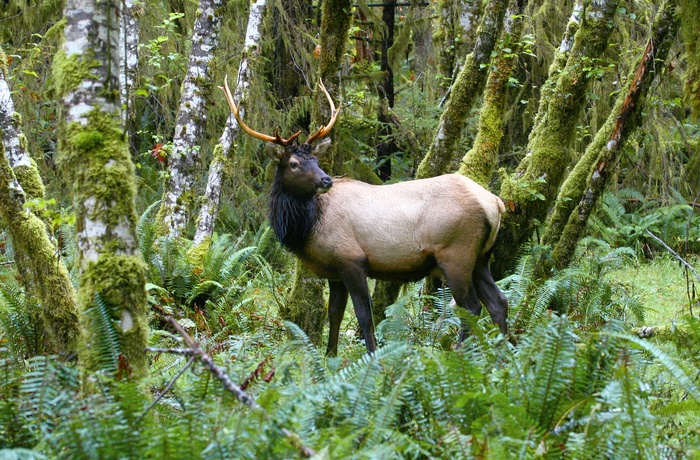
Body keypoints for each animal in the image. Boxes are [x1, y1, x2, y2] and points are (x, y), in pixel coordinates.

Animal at [224, 76, 508, 356]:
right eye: (294, 163)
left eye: (315, 160)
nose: (326, 180)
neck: (308, 226)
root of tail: (495, 203)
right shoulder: (334, 271)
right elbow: (334, 315)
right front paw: (330, 358)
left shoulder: (352, 260)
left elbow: (364, 316)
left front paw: (372, 358)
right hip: (481, 256)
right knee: (499, 301)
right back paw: (505, 356)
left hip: (455, 253)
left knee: (471, 307)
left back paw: (461, 355)